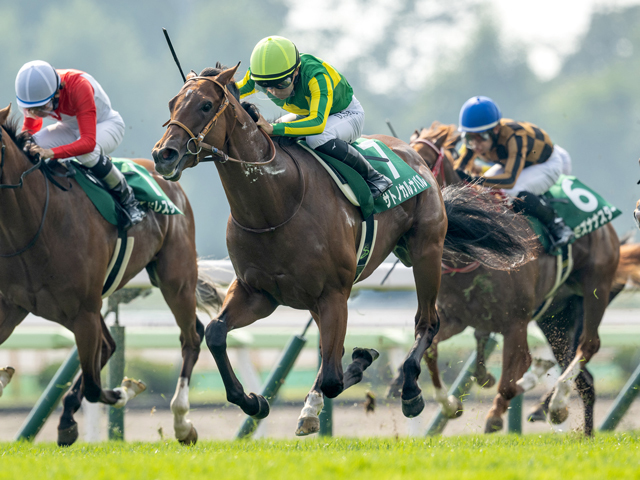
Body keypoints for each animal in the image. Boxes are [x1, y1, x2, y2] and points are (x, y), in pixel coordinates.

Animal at [0, 106, 222, 446]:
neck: (36, 222)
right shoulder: (12, 307)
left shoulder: (83, 311)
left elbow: (95, 387)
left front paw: (123, 391)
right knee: (109, 345)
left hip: (175, 278)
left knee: (191, 336)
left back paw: (182, 423)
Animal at [151, 63, 536, 436]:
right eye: (171, 103)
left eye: (205, 105)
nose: (163, 154)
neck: (276, 205)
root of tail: (413, 153)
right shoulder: (258, 292)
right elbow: (216, 334)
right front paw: (254, 401)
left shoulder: (333, 293)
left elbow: (334, 378)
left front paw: (361, 361)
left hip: (426, 251)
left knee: (427, 322)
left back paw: (411, 391)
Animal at [400, 121, 620, 436]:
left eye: (425, 161)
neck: (472, 253)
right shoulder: (456, 317)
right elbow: (430, 353)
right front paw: (450, 405)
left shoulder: (515, 323)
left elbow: (512, 377)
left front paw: (496, 412)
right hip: (556, 315)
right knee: (585, 380)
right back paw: (578, 426)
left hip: (596, 288)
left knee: (588, 345)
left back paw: (555, 404)